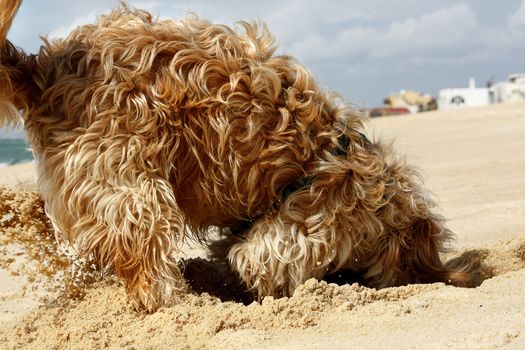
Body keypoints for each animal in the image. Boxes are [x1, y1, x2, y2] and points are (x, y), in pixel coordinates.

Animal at [0, 1, 468, 310]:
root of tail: (41, 72)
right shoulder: (296, 233)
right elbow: (256, 261)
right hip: (133, 186)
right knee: (147, 264)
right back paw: (180, 303)